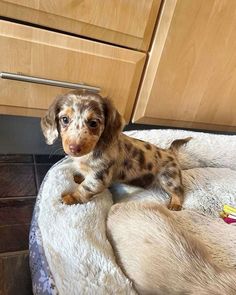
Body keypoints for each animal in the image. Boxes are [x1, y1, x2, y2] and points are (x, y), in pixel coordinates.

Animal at [41, 90, 191, 210]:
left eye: (93, 123)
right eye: (64, 119)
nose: (74, 148)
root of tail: (169, 151)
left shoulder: (99, 178)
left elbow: (84, 189)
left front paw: (70, 198)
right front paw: (79, 177)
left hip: (169, 179)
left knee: (179, 191)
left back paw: (175, 204)